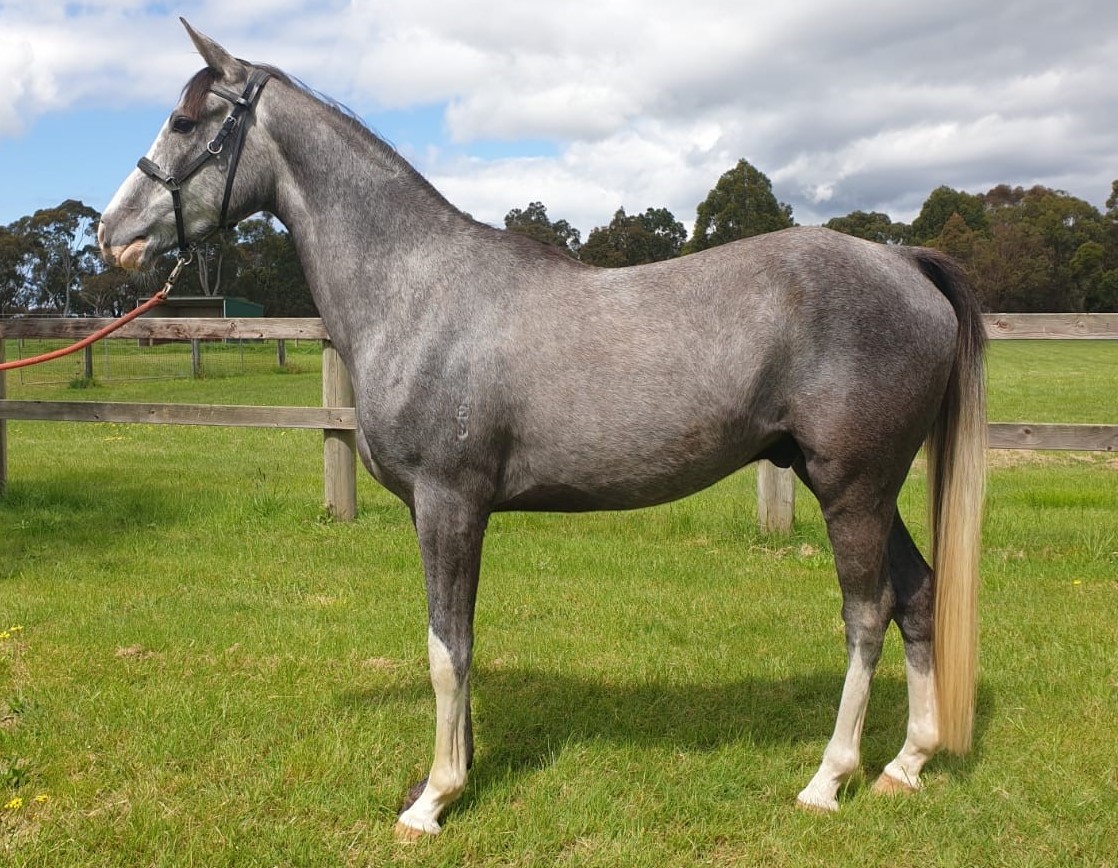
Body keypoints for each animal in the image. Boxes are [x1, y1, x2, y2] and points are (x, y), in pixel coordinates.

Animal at [98, 20, 986, 839]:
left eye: (185, 121)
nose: (113, 235)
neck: (419, 289)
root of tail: (902, 262)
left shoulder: (450, 502)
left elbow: (445, 650)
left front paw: (434, 800)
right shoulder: (444, 512)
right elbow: (460, 642)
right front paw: (454, 773)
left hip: (851, 487)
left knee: (867, 613)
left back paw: (829, 779)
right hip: (860, 487)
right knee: (917, 594)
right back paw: (906, 764)